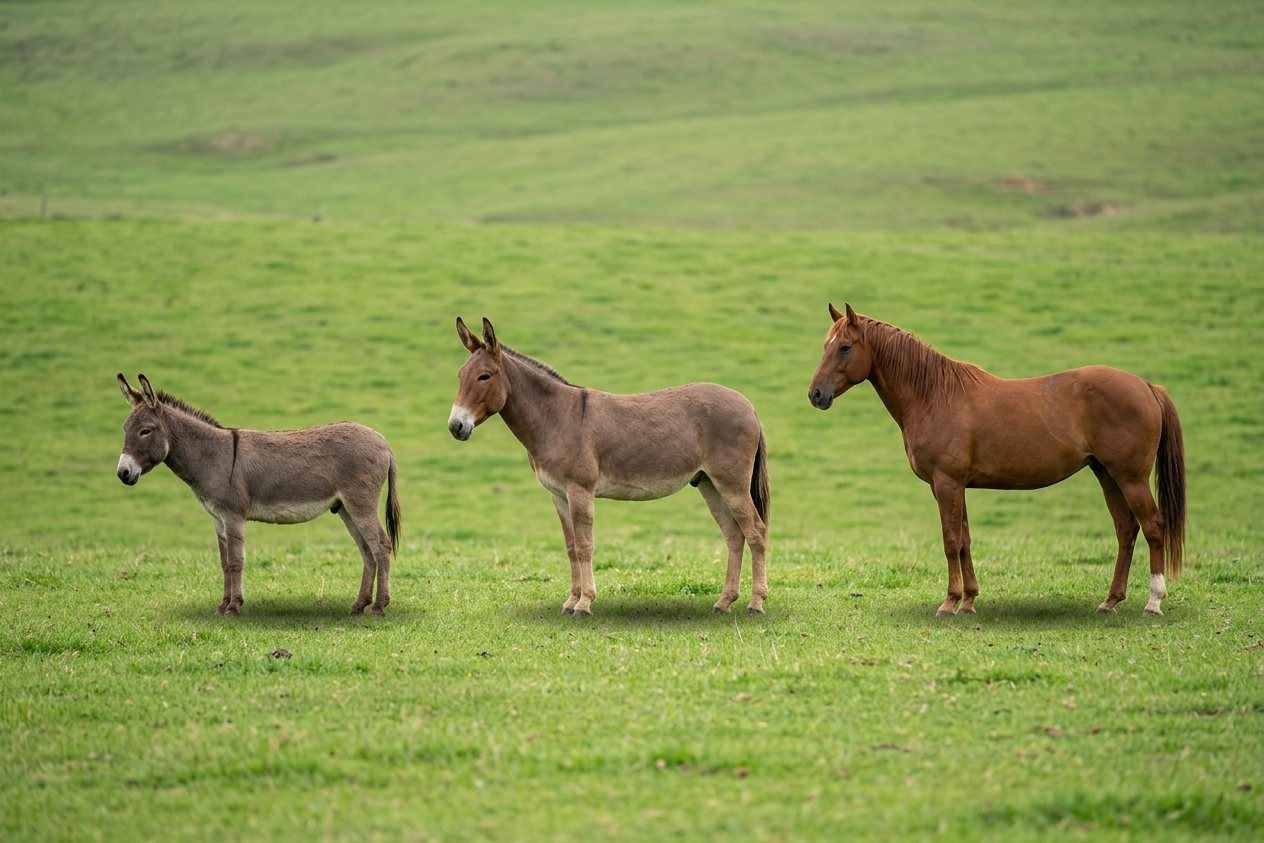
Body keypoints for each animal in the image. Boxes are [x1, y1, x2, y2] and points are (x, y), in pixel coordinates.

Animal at [115, 374, 401, 616]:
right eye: (125, 429)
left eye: (145, 430)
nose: (122, 473)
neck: (212, 456)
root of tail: (384, 441)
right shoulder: (218, 519)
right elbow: (224, 563)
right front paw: (223, 605)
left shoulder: (233, 515)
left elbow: (236, 561)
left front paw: (234, 607)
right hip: (344, 507)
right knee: (367, 550)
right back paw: (359, 605)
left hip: (360, 503)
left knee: (381, 546)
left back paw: (379, 606)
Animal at [447, 317, 770, 617]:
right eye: (460, 375)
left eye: (484, 376)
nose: (455, 427)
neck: (556, 418)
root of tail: (748, 404)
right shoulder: (559, 495)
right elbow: (571, 547)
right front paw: (570, 602)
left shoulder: (580, 490)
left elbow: (585, 545)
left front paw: (584, 604)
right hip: (708, 483)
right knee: (734, 534)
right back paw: (724, 602)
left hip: (732, 482)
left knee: (756, 531)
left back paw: (755, 603)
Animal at [807, 304, 1186, 617]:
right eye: (825, 345)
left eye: (844, 347)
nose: (816, 394)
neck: (935, 396)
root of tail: (1147, 386)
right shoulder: (954, 486)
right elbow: (965, 540)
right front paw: (969, 601)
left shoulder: (946, 483)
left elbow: (951, 541)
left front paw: (949, 603)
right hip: (1107, 475)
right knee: (1126, 530)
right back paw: (1110, 601)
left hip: (1130, 478)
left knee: (1153, 526)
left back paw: (1153, 602)